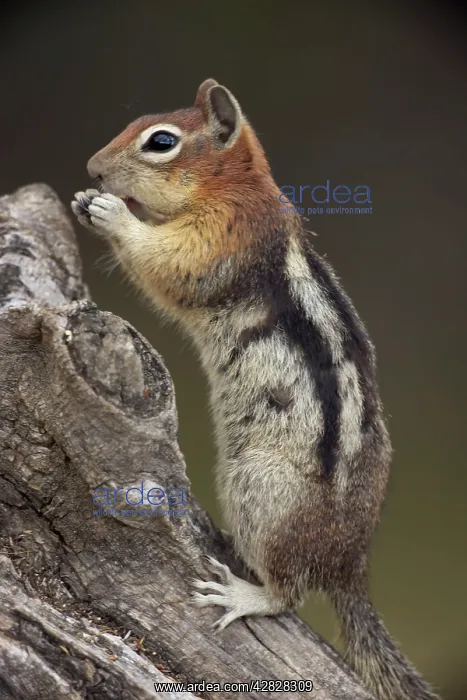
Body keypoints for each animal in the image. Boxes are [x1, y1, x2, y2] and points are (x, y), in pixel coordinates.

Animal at [71, 79, 440, 700]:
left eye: (161, 142)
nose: (94, 168)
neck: (229, 185)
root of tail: (350, 563)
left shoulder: (220, 238)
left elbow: (169, 267)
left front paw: (111, 212)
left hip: (261, 489)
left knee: (288, 594)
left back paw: (243, 594)